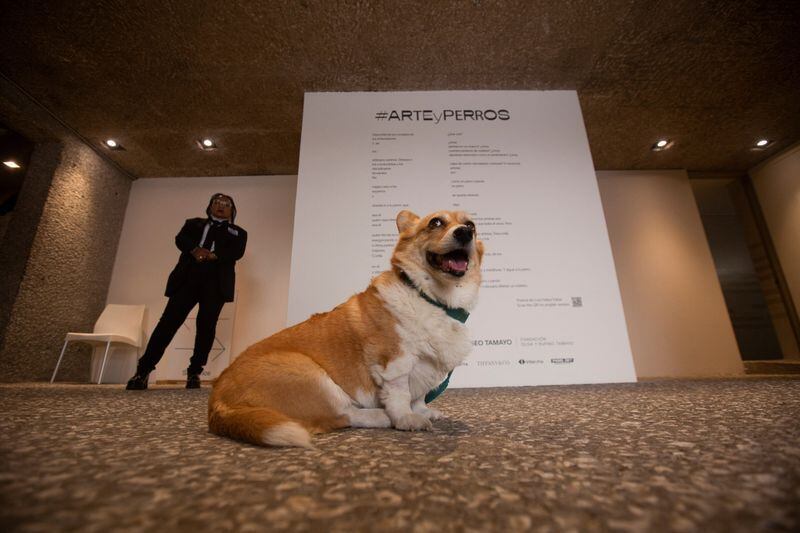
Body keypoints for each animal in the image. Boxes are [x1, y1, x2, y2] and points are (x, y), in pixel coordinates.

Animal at [209, 210, 482, 446]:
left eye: (471, 225)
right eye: (435, 222)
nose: (464, 233)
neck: (432, 298)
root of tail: (218, 402)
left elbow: (419, 397)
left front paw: (424, 411)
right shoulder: (395, 362)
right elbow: (401, 395)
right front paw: (407, 419)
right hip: (311, 374)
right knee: (340, 415)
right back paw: (380, 416)